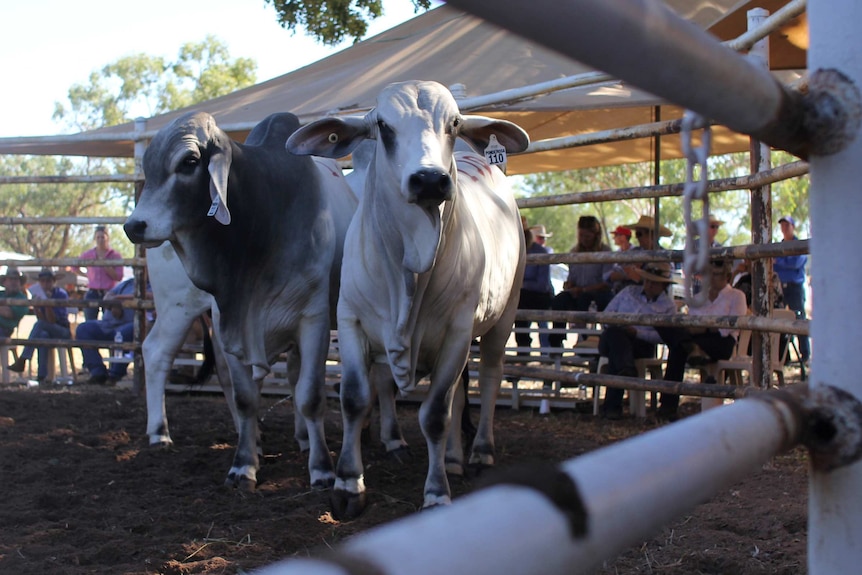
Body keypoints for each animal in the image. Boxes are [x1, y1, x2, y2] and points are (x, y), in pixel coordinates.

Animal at [125, 111, 358, 490]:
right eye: (148, 166)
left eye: (189, 162)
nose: (133, 226)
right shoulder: (229, 318)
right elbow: (246, 397)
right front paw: (243, 465)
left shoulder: (313, 320)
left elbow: (308, 395)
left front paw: (322, 468)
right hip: (179, 308)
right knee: (157, 352)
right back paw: (161, 433)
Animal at [286, 81, 528, 516]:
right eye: (383, 126)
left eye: (454, 123)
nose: (430, 180)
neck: (407, 276)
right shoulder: (350, 321)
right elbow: (354, 399)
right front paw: (348, 484)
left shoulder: (457, 332)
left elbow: (435, 415)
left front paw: (436, 491)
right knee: (460, 394)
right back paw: (454, 457)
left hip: (505, 313)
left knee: (489, 377)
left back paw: (479, 451)